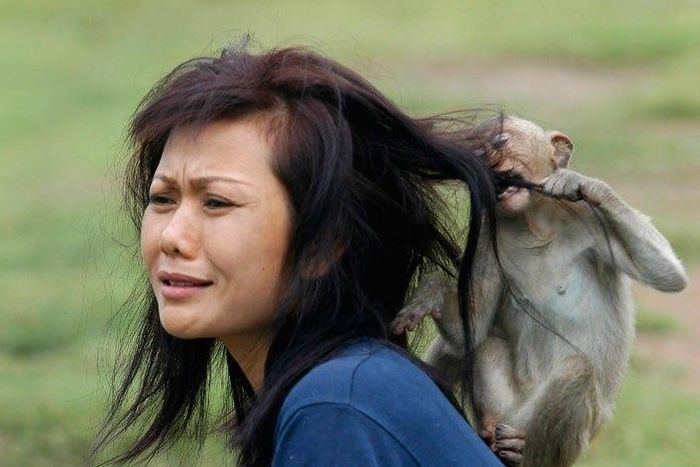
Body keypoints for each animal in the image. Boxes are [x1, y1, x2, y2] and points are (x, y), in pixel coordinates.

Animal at [391, 116, 688, 467]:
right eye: (478, 148)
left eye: (500, 141)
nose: (485, 158)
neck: (534, 221)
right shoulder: (488, 230)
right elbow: (471, 329)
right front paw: (431, 294)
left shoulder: (591, 218)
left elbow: (667, 274)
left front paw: (581, 183)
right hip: (506, 409)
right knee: (475, 346)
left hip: (565, 432)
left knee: (576, 372)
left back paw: (523, 453)